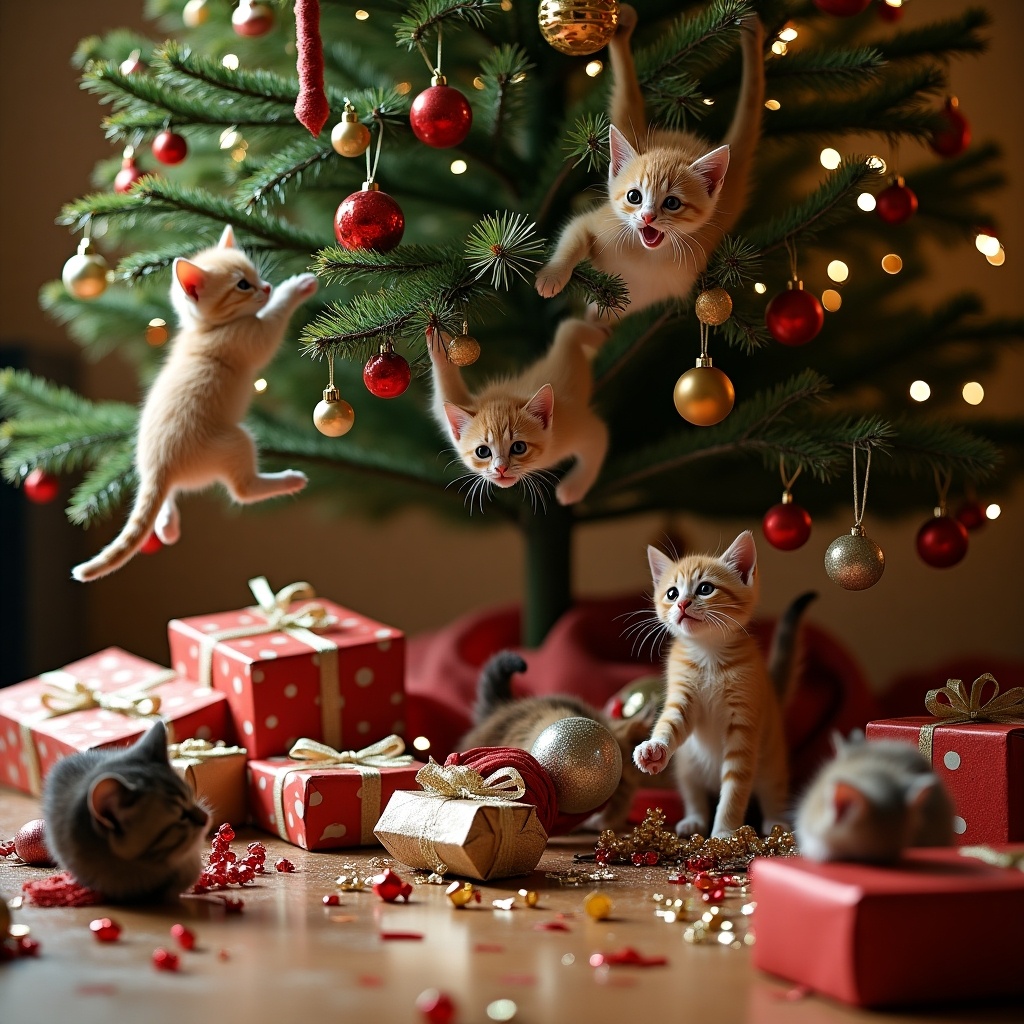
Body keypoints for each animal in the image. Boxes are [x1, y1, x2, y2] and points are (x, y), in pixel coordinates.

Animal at [72, 227, 315, 581]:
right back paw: (288, 480)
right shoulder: (250, 336)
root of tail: (158, 468)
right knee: (242, 491)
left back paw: (167, 524)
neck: (205, 328)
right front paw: (294, 288)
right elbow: (273, 321)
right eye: (243, 285)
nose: (267, 287)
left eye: (254, 275)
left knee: (164, 497)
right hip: (234, 440)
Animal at [430, 311, 610, 503]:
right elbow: (441, 401)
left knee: (569, 328)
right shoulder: (458, 408)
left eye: (519, 447)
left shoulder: (573, 427)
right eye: (482, 451)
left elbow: (599, 439)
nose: (500, 468)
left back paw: (602, 331)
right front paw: (438, 346)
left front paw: (573, 488)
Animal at [634, 532, 794, 835]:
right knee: (694, 794)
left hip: (772, 762)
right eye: (672, 593)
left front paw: (724, 833)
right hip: (687, 767)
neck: (708, 655)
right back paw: (694, 819)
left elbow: (734, 788)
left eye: (705, 588)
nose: (682, 604)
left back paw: (776, 823)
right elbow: (670, 724)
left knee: (773, 792)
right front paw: (654, 748)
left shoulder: (743, 723)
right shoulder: (683, 699)